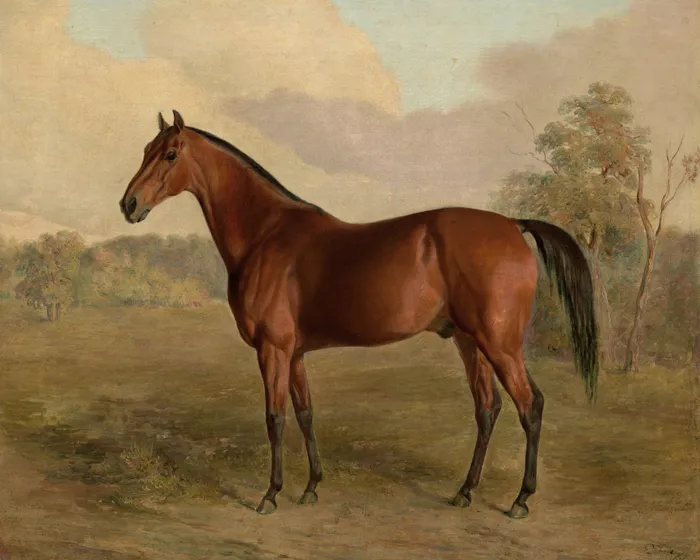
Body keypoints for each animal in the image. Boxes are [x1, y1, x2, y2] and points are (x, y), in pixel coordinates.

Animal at [120, 110, 598, 519]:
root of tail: (513, 225)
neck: (266, 235)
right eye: (144, 149)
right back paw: (465, 492)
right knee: (488, 408)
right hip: (471, 342)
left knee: (529, 405)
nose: (129, 204)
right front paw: (311, 487)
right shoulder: (294, 354)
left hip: (500, 343)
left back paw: (521, 499)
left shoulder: (273, 350)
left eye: (170, 154)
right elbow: (305, 413)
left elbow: (275, 418)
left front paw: (270, 495)